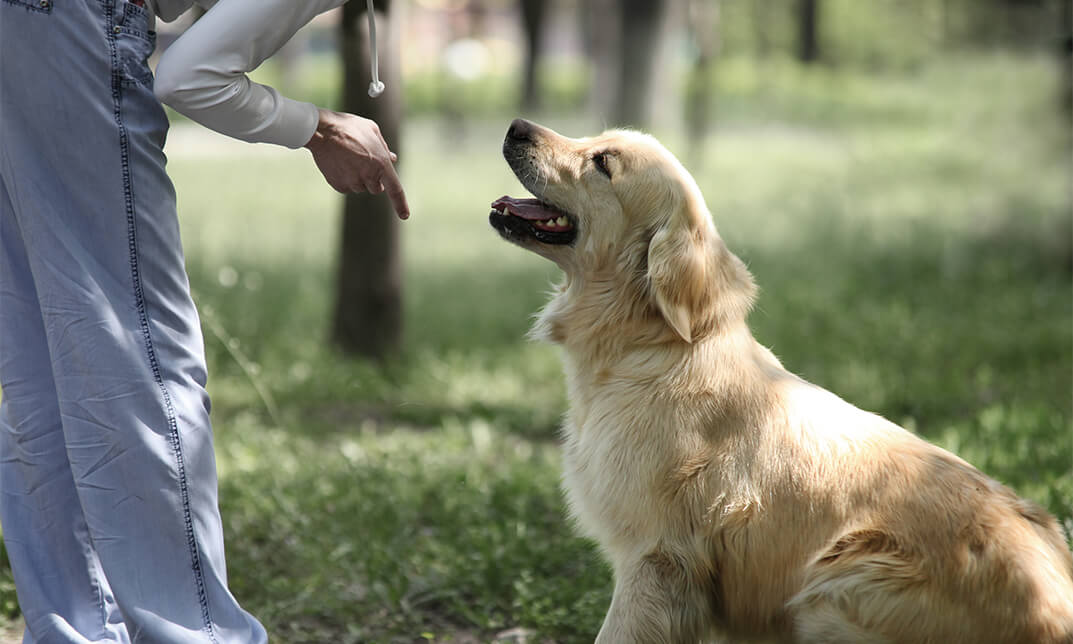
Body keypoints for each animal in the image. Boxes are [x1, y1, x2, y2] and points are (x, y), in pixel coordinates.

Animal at [489, 118, 1073, 639]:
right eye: (595, 138)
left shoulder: (656, 559)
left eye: (603, 163)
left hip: (834, 585)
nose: (515, 126)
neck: (651, 347)